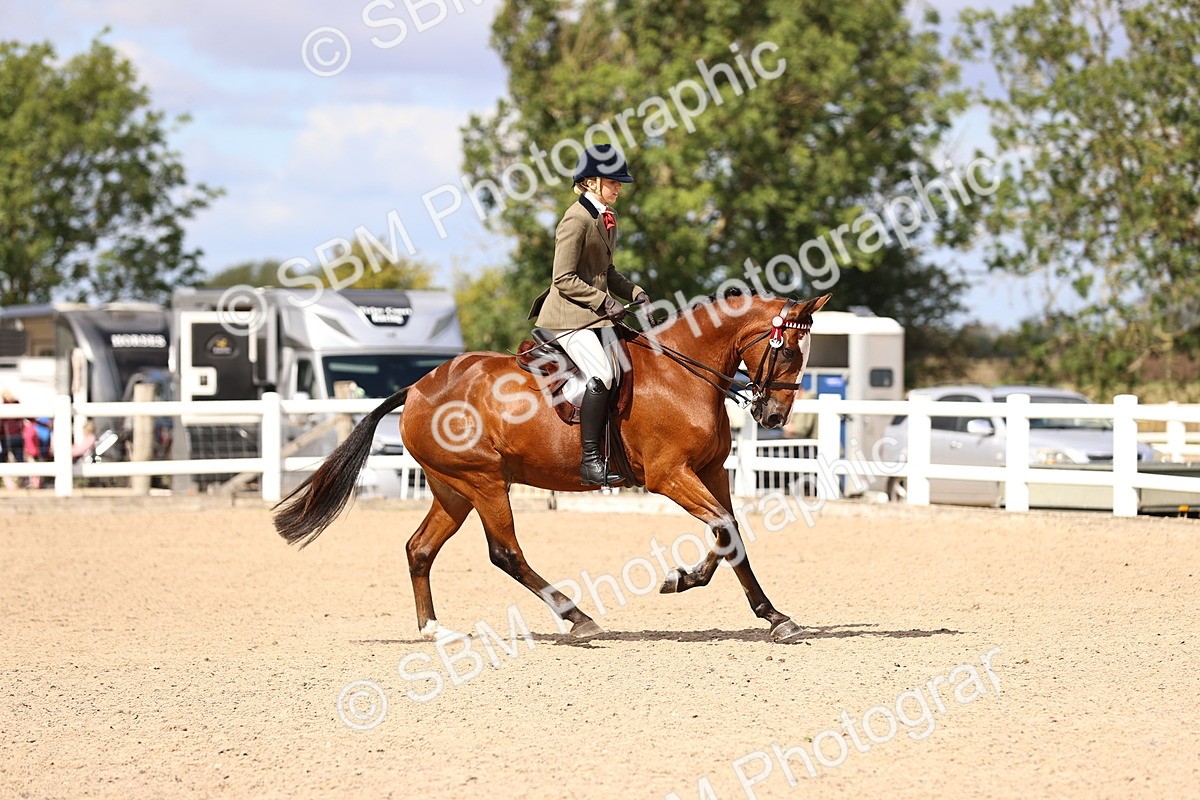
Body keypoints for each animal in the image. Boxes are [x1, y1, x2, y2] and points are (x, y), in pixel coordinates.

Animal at [273, 290, 832, 643]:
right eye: (787, 351)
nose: (774, 416)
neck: (682, 374)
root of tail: (416, 387)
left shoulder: (712, 471)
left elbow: (729, 530)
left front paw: (746, 604)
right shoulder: (670, 476)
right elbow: (723, 527)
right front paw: (729, 599)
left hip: (451, 489)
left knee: (419, 549)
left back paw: (434, 629)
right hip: (484, 482)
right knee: (505, 553)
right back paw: (578, 619)